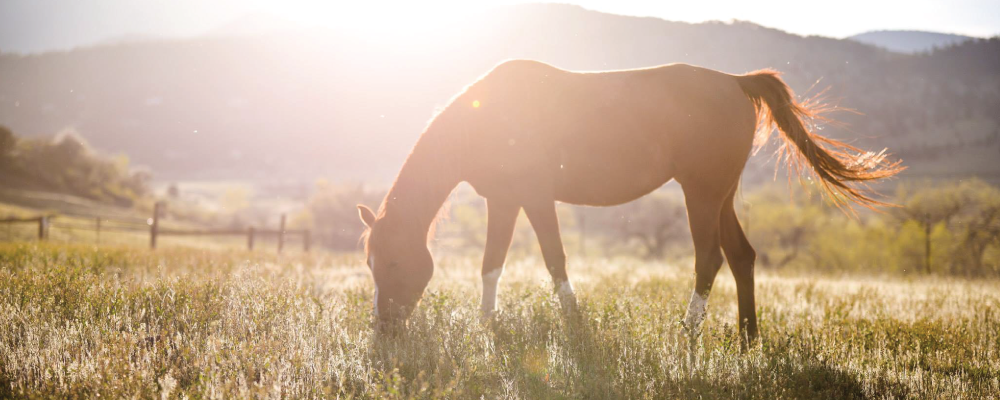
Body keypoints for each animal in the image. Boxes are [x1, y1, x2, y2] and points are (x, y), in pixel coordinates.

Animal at [356, 59, 904, 344]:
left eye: (394, 261)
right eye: (370, 263)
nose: (384, 330)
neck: (486, 116)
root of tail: (736, 82)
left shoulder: (535, 198)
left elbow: (554, 260)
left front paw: (575, 325)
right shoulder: (504, 201)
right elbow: (492, 263)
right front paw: (486, 326)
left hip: (701, 194)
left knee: (709, 258)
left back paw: (686, 334)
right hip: (721, 196)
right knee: (741, 256)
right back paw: (747, 338)